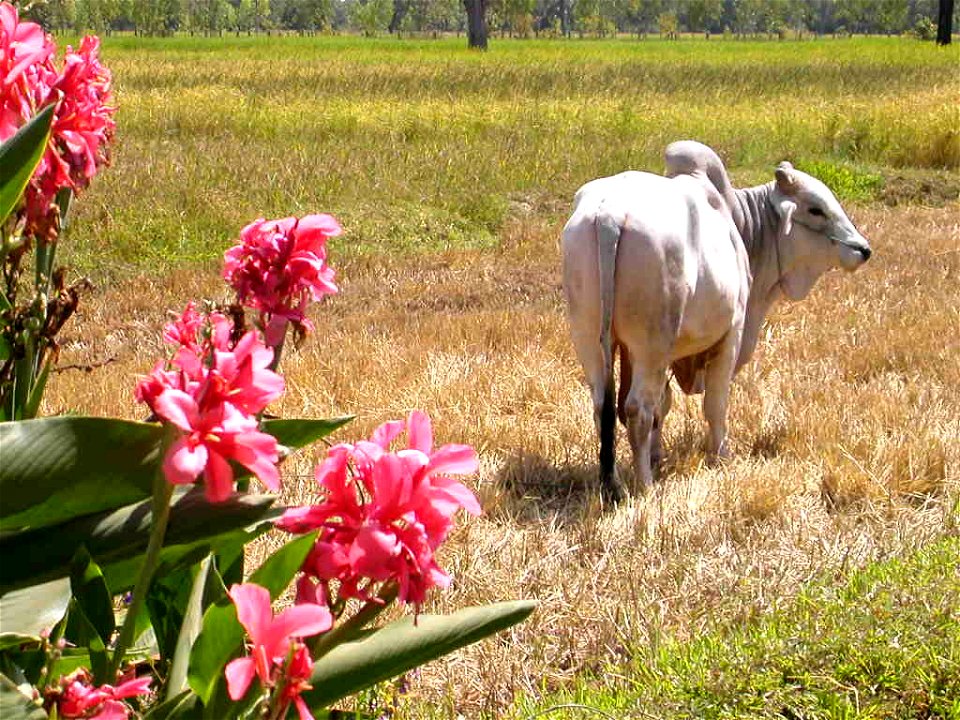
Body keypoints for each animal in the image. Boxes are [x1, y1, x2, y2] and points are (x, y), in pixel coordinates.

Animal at [564, 141, 872, 500]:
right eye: (815, 209)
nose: (863, 249)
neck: (741, 224)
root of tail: (610, 215)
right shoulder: (732, 334)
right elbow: (715, 405)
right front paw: (721, 457)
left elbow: (662, 407)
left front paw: (657, 456)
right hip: (653, 343)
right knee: (636, 409)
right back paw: (646, 485)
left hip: (589, 338)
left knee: (605, 407)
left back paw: (611, 481)